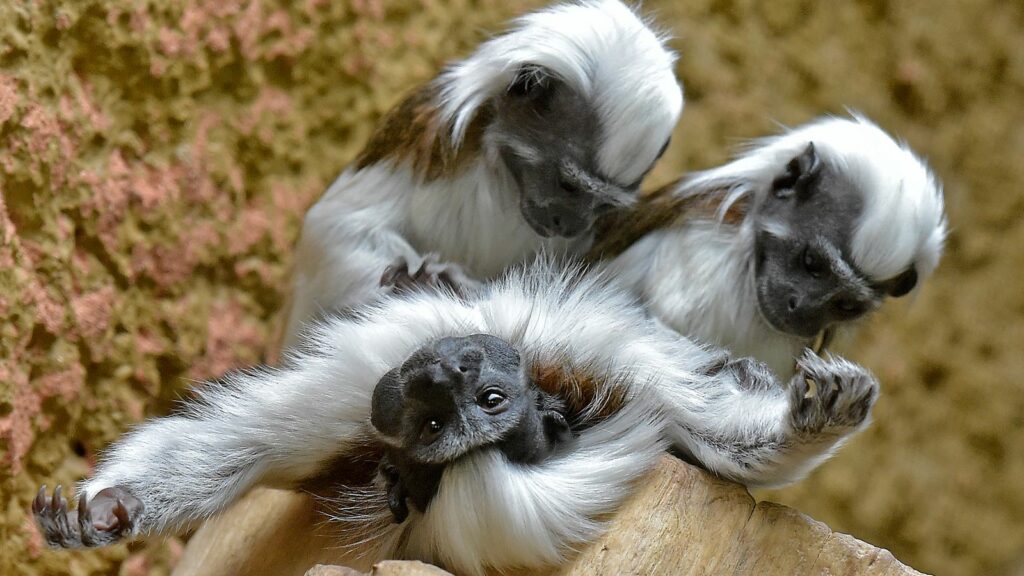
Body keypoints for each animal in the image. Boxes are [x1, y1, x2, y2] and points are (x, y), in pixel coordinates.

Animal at [36, 261, 876, 573]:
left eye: (483, 409)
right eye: (438, 419)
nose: (440, 374)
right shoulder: (352, 405)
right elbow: (232, 451)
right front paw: (108, 512)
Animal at [280, 0, 684, 344]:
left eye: (602, 205)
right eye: (568, 185)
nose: (569, 224)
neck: (505, 178)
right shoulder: (428, 142)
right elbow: (337, 227)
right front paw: (424, 283)